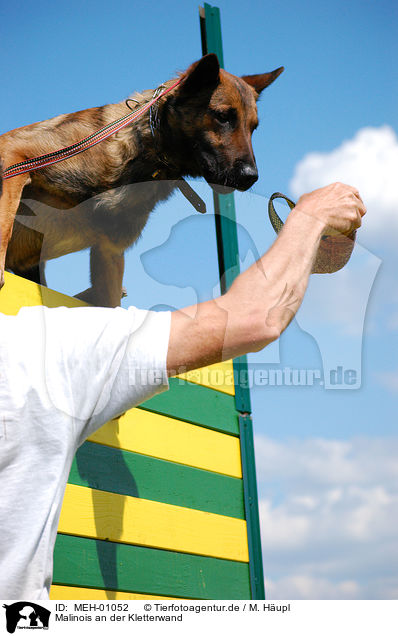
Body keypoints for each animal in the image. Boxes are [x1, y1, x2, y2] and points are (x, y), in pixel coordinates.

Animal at [0, 53, 282, 306]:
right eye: (223, 117)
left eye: (253, 128)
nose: (251, 177)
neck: (148, 150)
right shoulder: (15, 153)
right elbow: (5, 221)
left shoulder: (109, 252)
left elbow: (111, 304)